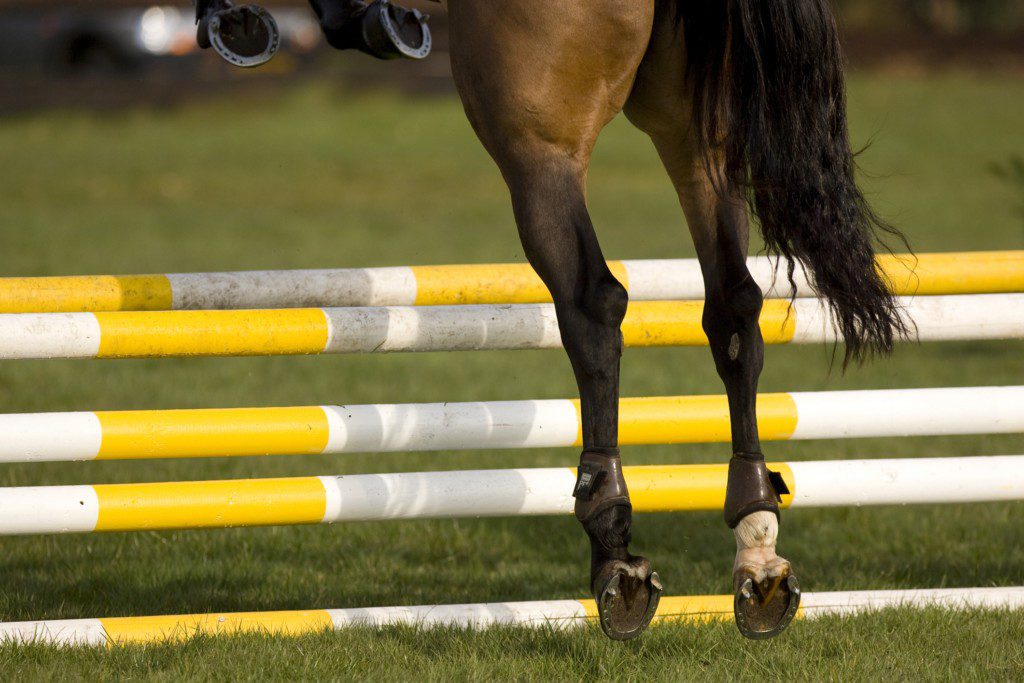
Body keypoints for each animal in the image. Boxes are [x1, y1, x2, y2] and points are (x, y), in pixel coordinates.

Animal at [195, 0, 909, 643]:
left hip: (537, 142)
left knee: (594, 301)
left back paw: (611, 543)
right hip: (693, 128)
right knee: (732, 306)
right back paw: (756, 546)